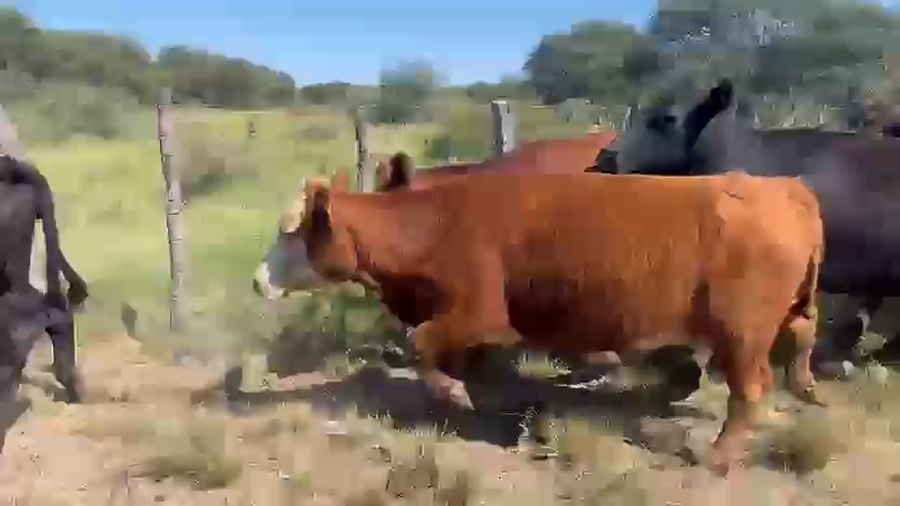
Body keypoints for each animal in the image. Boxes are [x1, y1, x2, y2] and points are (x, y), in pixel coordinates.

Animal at [253, 168, 826, 475]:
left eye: (292, 234)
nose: (257, 280)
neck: (435, 225)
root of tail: (781, 187)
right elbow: (453, 359)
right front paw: (481, 399)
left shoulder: (480, 313)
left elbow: (421, 344)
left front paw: (456, 394)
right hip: (789, 312)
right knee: (802, 336)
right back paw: (803, 387)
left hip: (741, 334)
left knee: (749, 389)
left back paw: (719, 453)